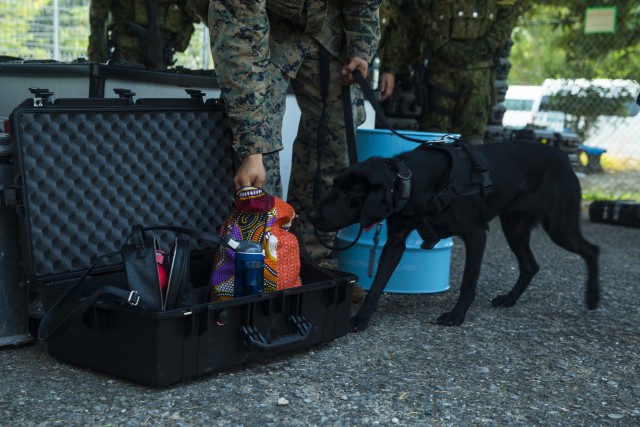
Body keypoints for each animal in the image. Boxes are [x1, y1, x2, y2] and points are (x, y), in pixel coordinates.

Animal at [310, 140, 600, 332]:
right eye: (334, 185)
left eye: (349, 193)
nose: (312, 213)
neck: (416, 183)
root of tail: (561, 155)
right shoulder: (396, 241)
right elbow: (378, 284)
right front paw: (362, 318)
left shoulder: (476, 234)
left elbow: (468, 282)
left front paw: (456, 315)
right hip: (514, 227)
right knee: (531, 265)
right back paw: (509, 299)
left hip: (559, 226)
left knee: (592, 250)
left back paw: (593, 297)